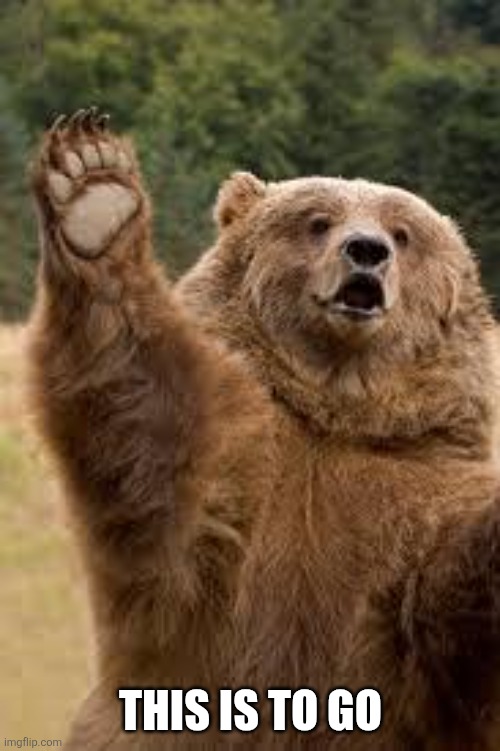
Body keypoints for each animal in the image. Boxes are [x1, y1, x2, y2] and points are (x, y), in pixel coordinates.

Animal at [28, 108, 500, 750]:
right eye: (318, 221)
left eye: (403, 233)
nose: (366, 251)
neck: (332, 415)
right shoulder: (235, 488)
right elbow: (152, 433)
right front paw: (93, 189)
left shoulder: (412, 499)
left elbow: (447, 598)